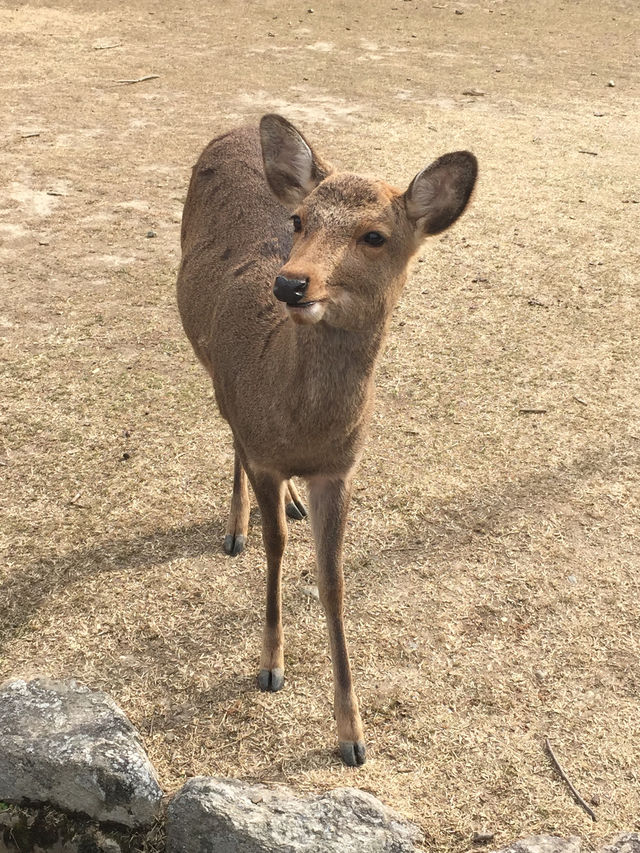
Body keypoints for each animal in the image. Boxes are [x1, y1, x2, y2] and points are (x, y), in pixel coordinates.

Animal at [178, 115, 478, 764]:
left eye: (375, 236)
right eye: (298, 221)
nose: (291, 284)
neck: (299, 427)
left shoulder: (341, 469)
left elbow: (334, 580)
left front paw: (352, 735)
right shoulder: (262, 447)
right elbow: (276, 549)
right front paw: (270, 666)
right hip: (209, 363)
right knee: (228, 430)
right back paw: (236, 527)